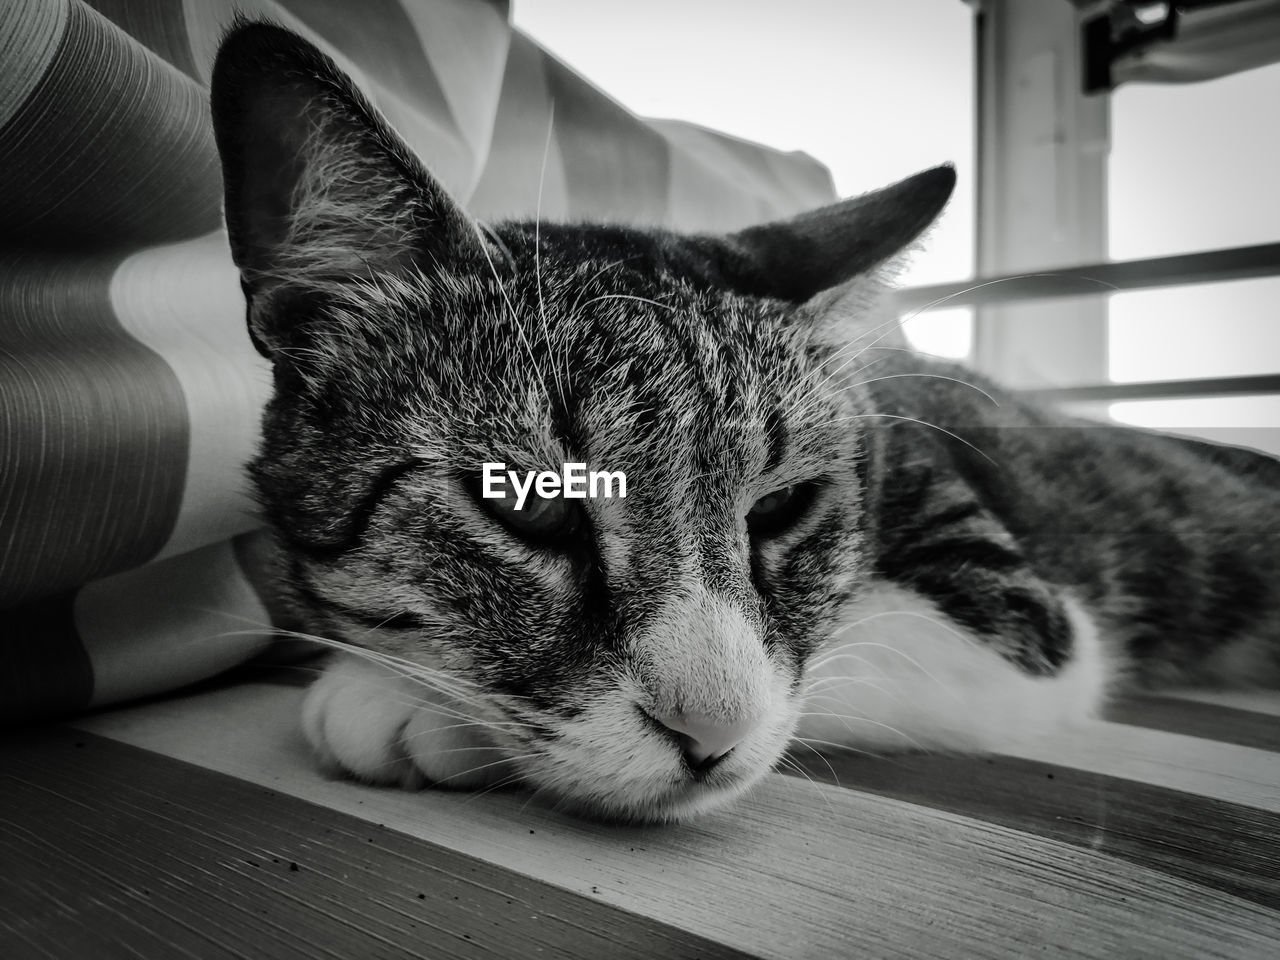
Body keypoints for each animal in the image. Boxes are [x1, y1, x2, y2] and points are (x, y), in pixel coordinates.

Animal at [209, 20, 1280, 819]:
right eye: (526, 506)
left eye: (781, 508)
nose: (709, 734)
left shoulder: (1026, 620)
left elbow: (837, 663)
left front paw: (398, 701)